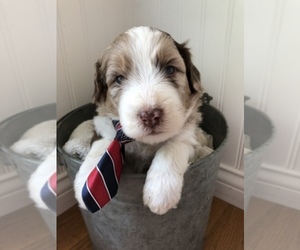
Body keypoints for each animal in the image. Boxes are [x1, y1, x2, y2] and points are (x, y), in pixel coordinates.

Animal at [75, 26, 206, 215]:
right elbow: (104, 145)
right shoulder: (104, 125)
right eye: (119, 79)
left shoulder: (190, 137)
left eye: (170, 70)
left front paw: (161, 190)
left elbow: (172, 146)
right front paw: (84, 182)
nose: (150, 115)